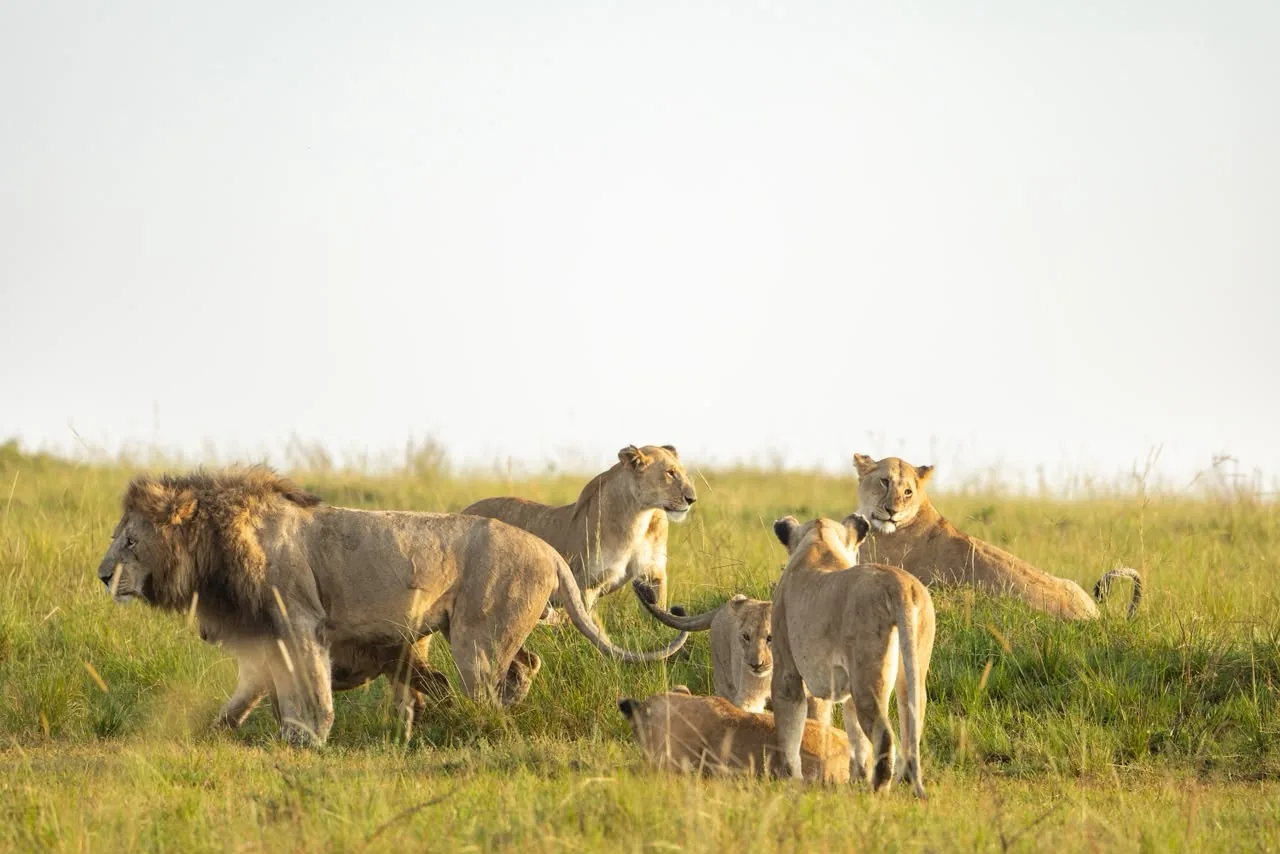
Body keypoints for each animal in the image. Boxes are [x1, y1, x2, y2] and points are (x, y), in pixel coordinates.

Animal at [94, 466, 686, 746]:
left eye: (130, 541)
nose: (102, 575)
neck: (213, 546)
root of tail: (548, 549)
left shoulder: (302, 623)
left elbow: (309, 691)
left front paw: (310, 740)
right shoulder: (269, 635)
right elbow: (248, 694)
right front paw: (220, 734)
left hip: (475, 638)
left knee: (487, 694)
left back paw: (478, 725)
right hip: (478, 631)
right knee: (526, 665)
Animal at [463, 444, 697, 619]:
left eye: (684, 474)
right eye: (670, 473)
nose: (692, 499)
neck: (640, 517)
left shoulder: (654, 573)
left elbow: (661, 614)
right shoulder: (586, 584)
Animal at [632, 581, 830, 722]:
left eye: (770, 638)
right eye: (746, 637)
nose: (755, 665)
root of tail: (722, 606)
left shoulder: (817, 699)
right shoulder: (748, 697)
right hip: (723, 683)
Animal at [771, 513, 935, 798]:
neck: (819, 541)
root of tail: (899, 584)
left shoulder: (786, 671)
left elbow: (790, 730)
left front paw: (790, 779)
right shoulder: (846, 688)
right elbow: (856, 738)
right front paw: (856, 777)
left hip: (868, 679)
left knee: (884, 735)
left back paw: (877, 791)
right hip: (910, 671)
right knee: (912, 725)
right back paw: (902, 782)